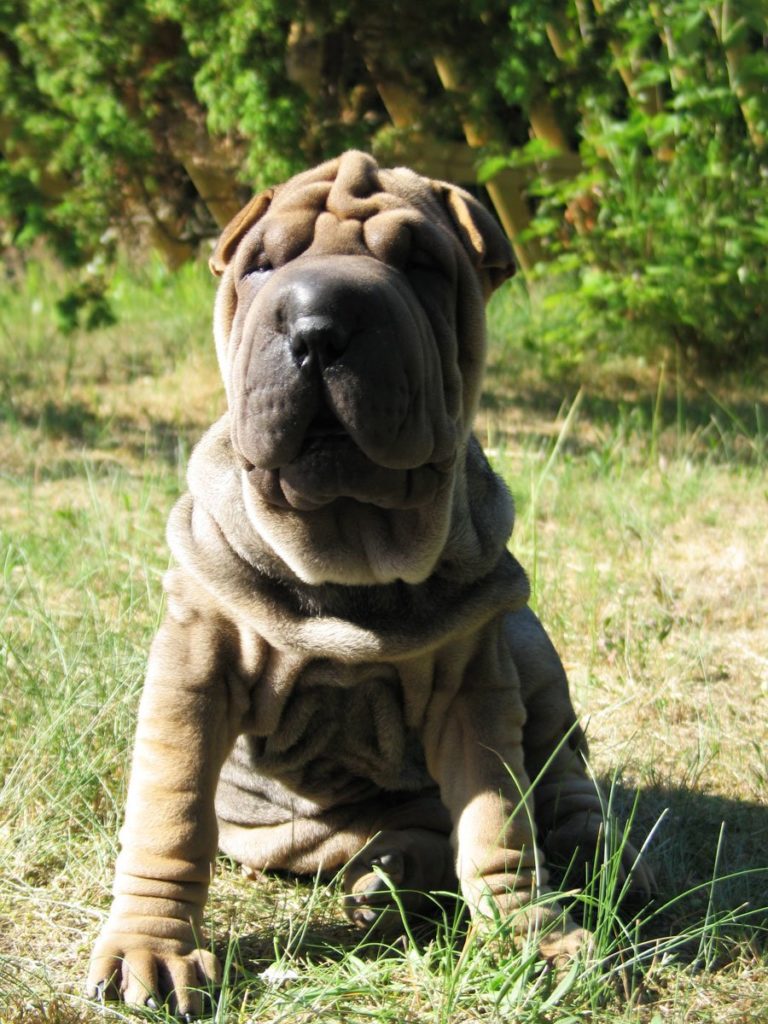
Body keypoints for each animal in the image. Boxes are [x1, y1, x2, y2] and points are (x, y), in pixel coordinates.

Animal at [87, 151, 651, 1015]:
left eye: (419, 263)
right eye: (260, 267)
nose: (317, 323)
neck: (349, 545)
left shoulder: (476, 680)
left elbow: (500, 823)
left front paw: (535, 942)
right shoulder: (194, 662)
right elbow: (170, 811)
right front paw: (151, 948)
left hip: (530, 645)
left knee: (560, 781)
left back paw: (593, 860)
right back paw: (393, 879)